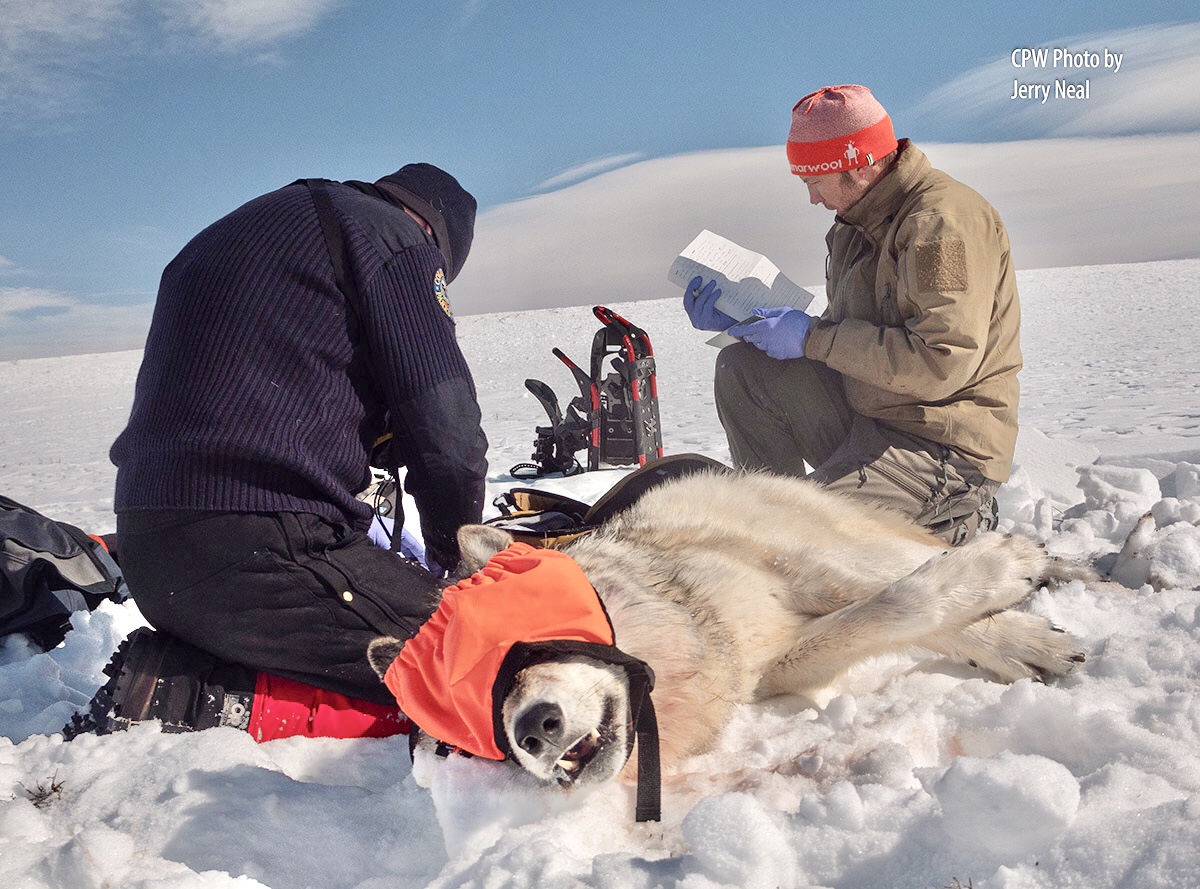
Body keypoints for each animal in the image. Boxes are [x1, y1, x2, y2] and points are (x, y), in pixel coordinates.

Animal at [364, 472, 1089, 796]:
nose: (532, 731)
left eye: (519, 646)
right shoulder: (772, 668)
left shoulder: (807, 570)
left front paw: (1015, 594)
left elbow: (906, 594)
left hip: (835, 530)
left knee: (916, 554)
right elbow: (880, 619)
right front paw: (1028, 636)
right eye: (477, 716)